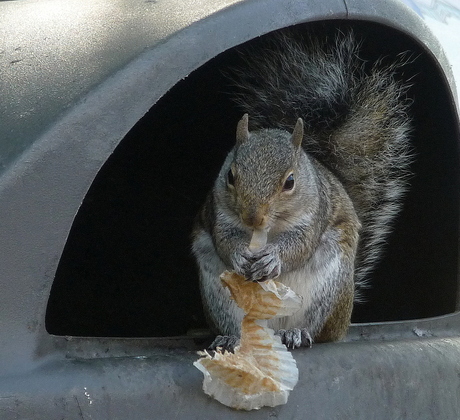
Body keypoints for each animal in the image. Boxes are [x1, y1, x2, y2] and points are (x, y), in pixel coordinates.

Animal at [190, 31, 414, 350]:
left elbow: (300, 246)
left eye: (290, 182)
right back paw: (232, 337)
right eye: (231, 175)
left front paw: (274, 258)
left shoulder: (314, 216)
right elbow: (224, 239)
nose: (252, 218)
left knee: (316, 331)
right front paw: (239, 256)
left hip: (327, 290)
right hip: (220, 297)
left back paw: (295, 333)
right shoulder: (218, 212)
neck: (267, 230)